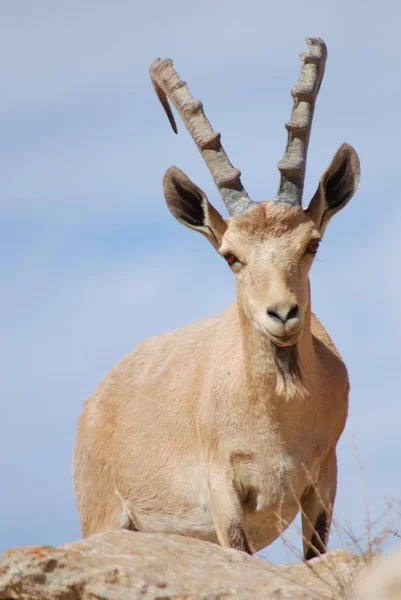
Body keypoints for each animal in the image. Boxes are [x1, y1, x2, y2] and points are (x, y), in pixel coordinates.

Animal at [72, 39, 360, 560]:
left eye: (312, 244)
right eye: (231, 256)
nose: (282, 314)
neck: (278, 414)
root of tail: (95, 400)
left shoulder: (322, 480)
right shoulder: (222, 485)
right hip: (101, 514)